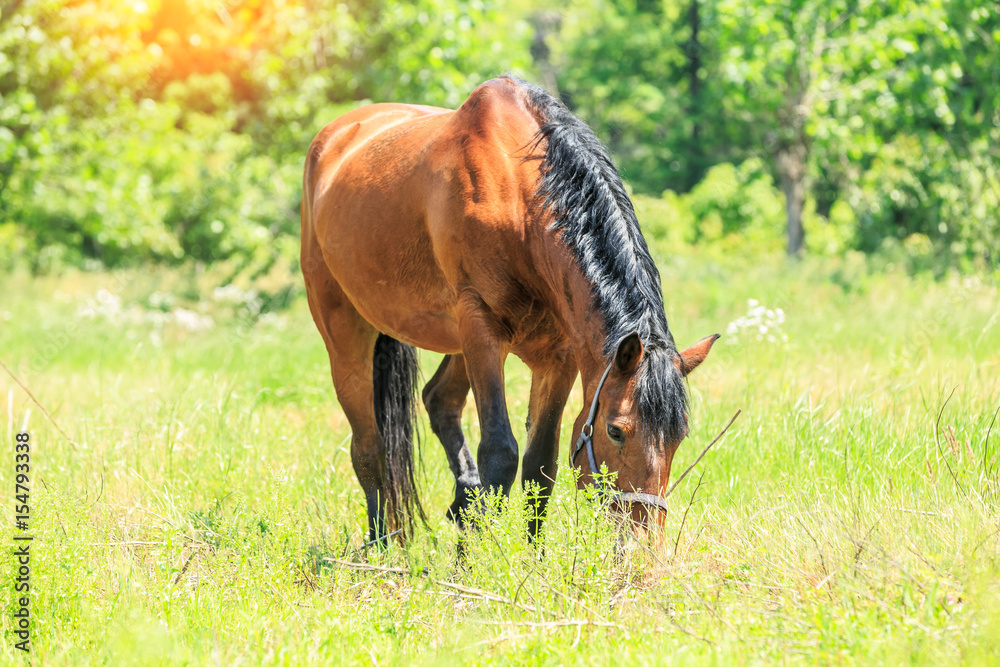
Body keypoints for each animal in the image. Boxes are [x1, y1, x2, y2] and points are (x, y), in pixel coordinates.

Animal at [298, 75, 720, 544]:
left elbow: (540, 467)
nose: (642, 541)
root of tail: (333, 137)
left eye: (679, 436)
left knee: (438, 401)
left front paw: (530, 558)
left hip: (455, 342)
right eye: (616, 430)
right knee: (369, 448)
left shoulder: (559, 356)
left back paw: (460, 500)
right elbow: (499, 453)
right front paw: (480, 560)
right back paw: (381, 547)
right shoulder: (481, 328)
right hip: (348, 334)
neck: (520, 202)